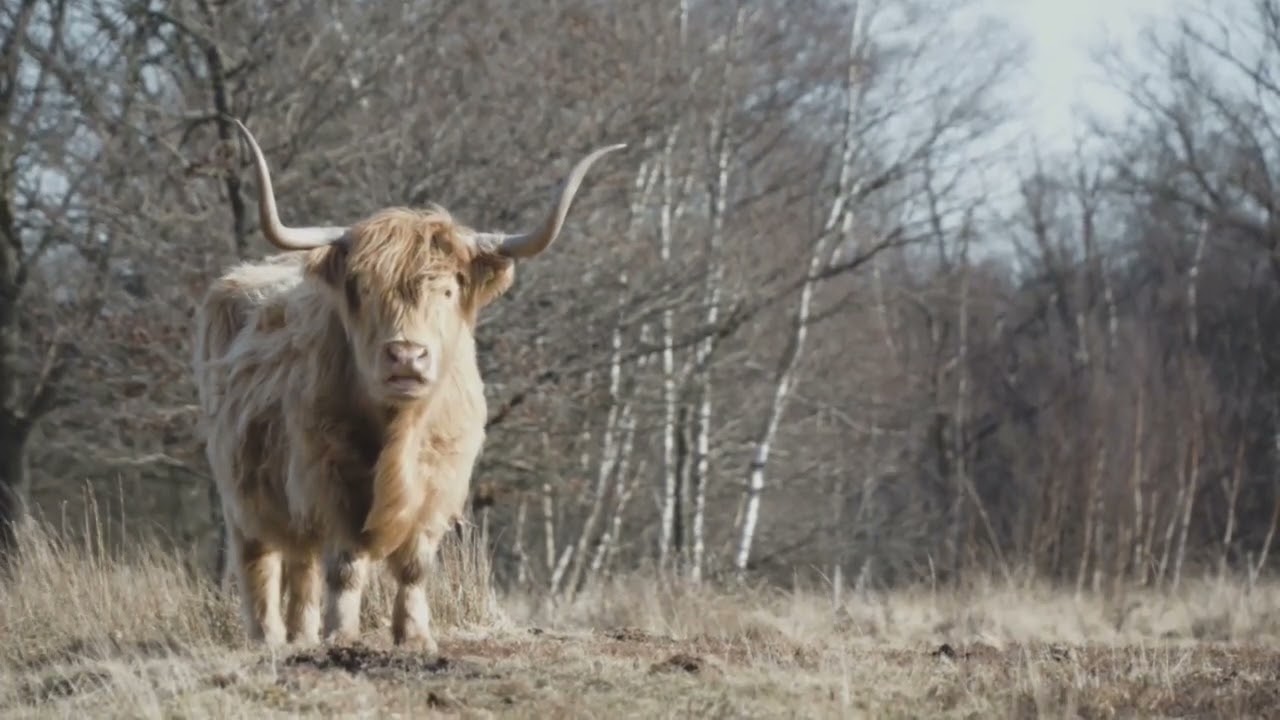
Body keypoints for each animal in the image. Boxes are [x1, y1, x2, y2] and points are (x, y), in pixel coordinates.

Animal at [192, 119, 624, 650]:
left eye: (449, 289)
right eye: (361, 288)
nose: (405, 355)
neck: (400, 428)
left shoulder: (441, 477)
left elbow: (415, 566)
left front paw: (415, 637)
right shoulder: (329, 476)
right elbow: (346, 566)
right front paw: (343, 635)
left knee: (302, 565)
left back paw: (302, 636)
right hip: (239, 491)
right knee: (259, 560)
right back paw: (269, 638)